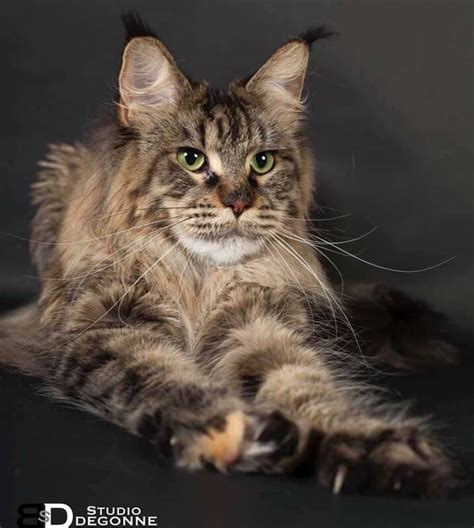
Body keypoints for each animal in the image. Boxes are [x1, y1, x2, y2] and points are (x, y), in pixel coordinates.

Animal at [0, 14, 460, 498]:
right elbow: (168, 379)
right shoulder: (108, 329)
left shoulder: (260, 323)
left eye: (262, 162)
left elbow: (306, 384)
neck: (201, 280)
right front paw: (229, 432)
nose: (238, 202)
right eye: (191, 158)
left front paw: (375, 449)